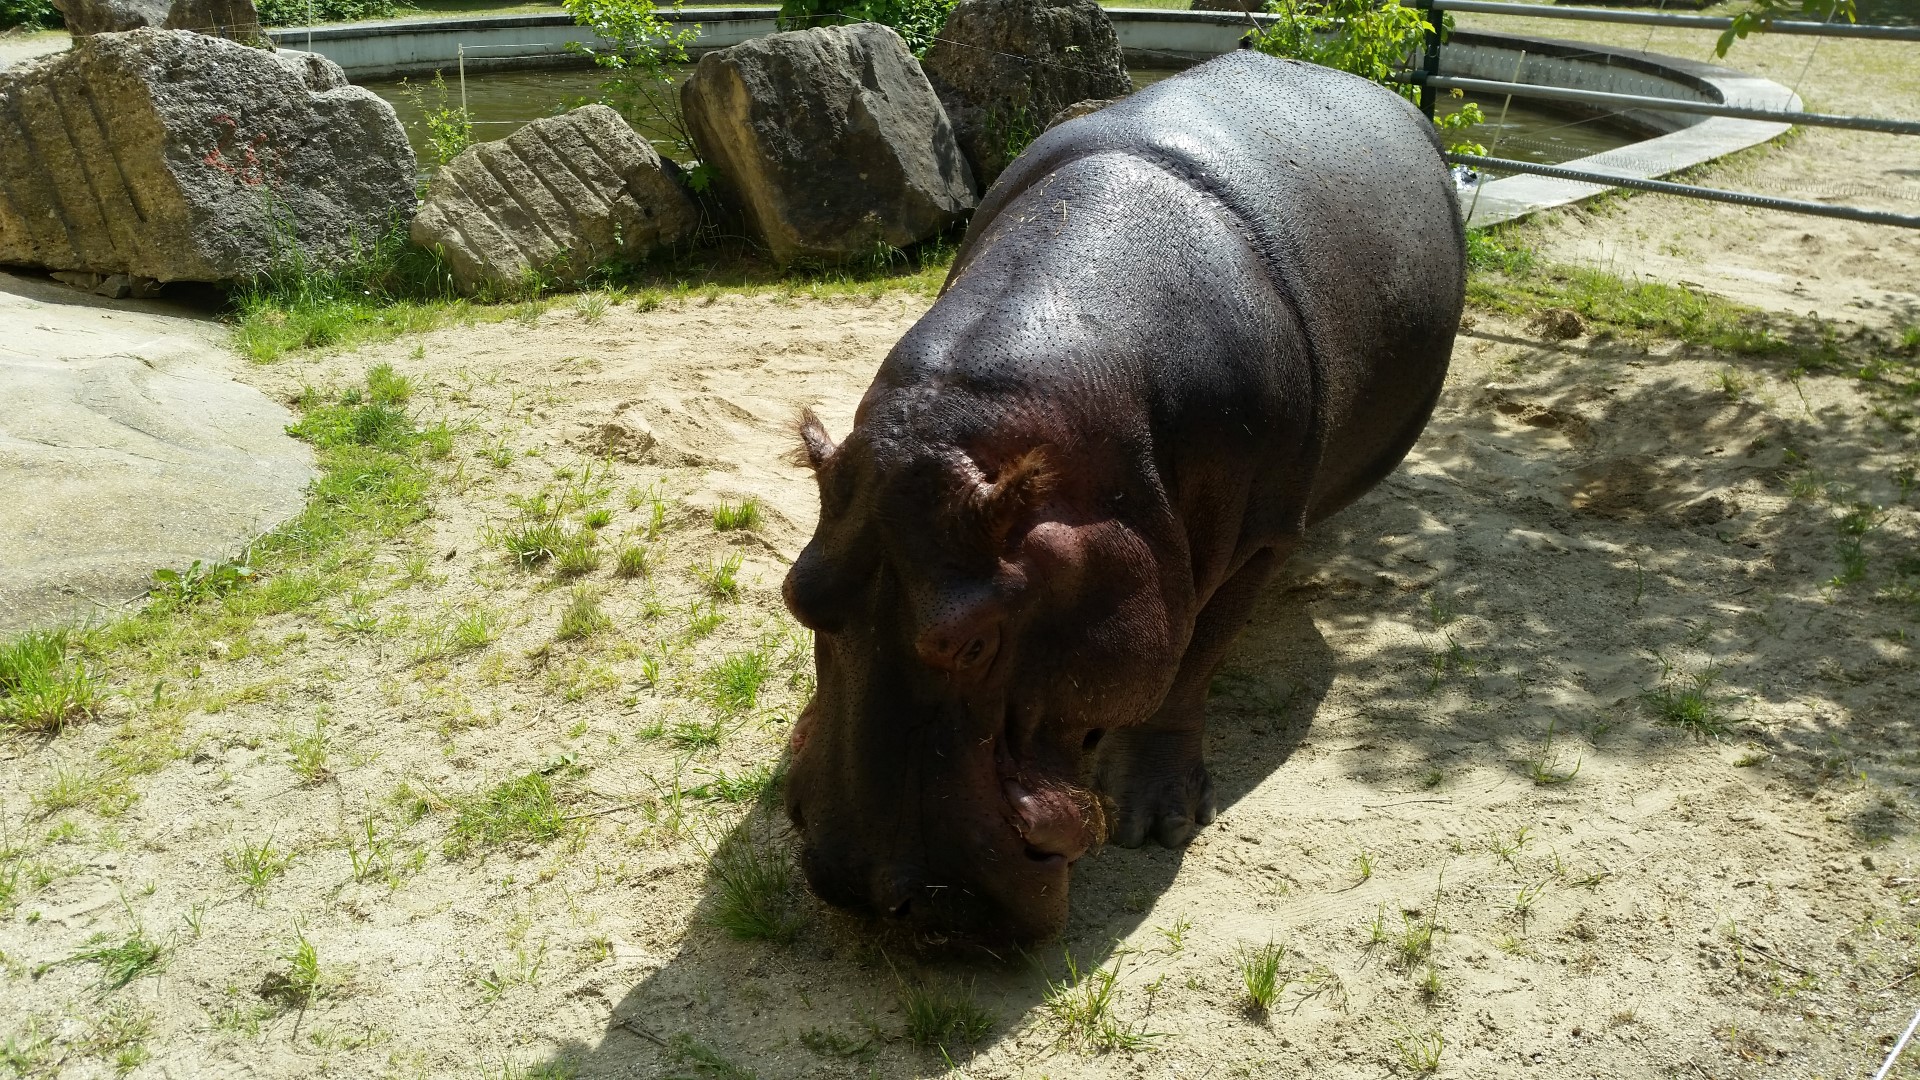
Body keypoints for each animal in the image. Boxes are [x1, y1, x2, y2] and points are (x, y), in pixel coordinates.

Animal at [781, 49, 1465, 941]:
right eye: (797, 594)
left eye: (975, 641)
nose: (872, 889)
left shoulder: (1261, 537)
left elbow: (1190, 664)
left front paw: (1153, 821)